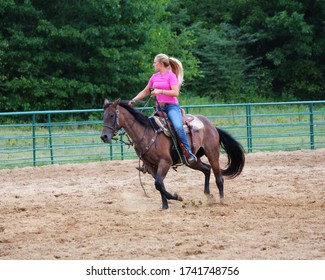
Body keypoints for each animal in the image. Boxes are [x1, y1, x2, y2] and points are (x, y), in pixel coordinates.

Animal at [100, 97, 244, 209]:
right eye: (103, 116)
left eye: (112, 115)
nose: (104, 137)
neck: (147, 133)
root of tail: (212, 126)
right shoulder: (150, 165)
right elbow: (159, 184)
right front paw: (165, 205)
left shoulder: (165, 162)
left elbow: (158, 183)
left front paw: (176, 197)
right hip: (192, 160)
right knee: (207, 169)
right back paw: (209, 196)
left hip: (212, 154)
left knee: (219, 177)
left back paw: (221, 201)